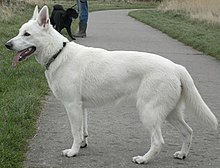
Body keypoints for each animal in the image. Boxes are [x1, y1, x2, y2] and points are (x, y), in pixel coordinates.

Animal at [5, 5, 218, 164]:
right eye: (19, 32)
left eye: (27, 34)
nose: (7, 45)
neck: (58, 53)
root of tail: (177, 67)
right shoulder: (81, 107)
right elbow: (83, 131)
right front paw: (82, 145)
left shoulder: (72, 106)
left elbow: (75, 132)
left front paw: (73, 152)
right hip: (171, 112)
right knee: (188, 132)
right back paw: (182, 154)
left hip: (149, 112)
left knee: (158, 141)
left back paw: (143, 159)